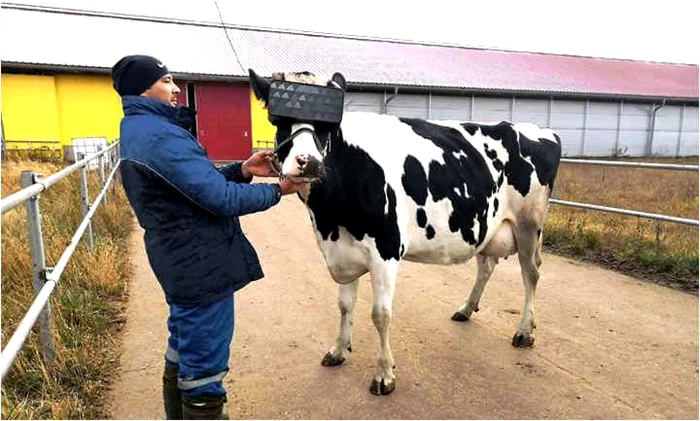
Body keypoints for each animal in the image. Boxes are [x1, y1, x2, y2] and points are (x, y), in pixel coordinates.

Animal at [252, 69, 564, 394]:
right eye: (278, 120)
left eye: (329, 126)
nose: (308, 162)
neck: (330, 220)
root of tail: (539, 130)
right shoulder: (342, 251)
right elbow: (344, 305)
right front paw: (338, 350)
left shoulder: (386, 250)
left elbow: (380, 315)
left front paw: (384, 374)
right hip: (485, 223)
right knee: (487, 265)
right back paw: (466, 309)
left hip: (529, 224)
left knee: (531, 273)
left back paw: (524, 331)